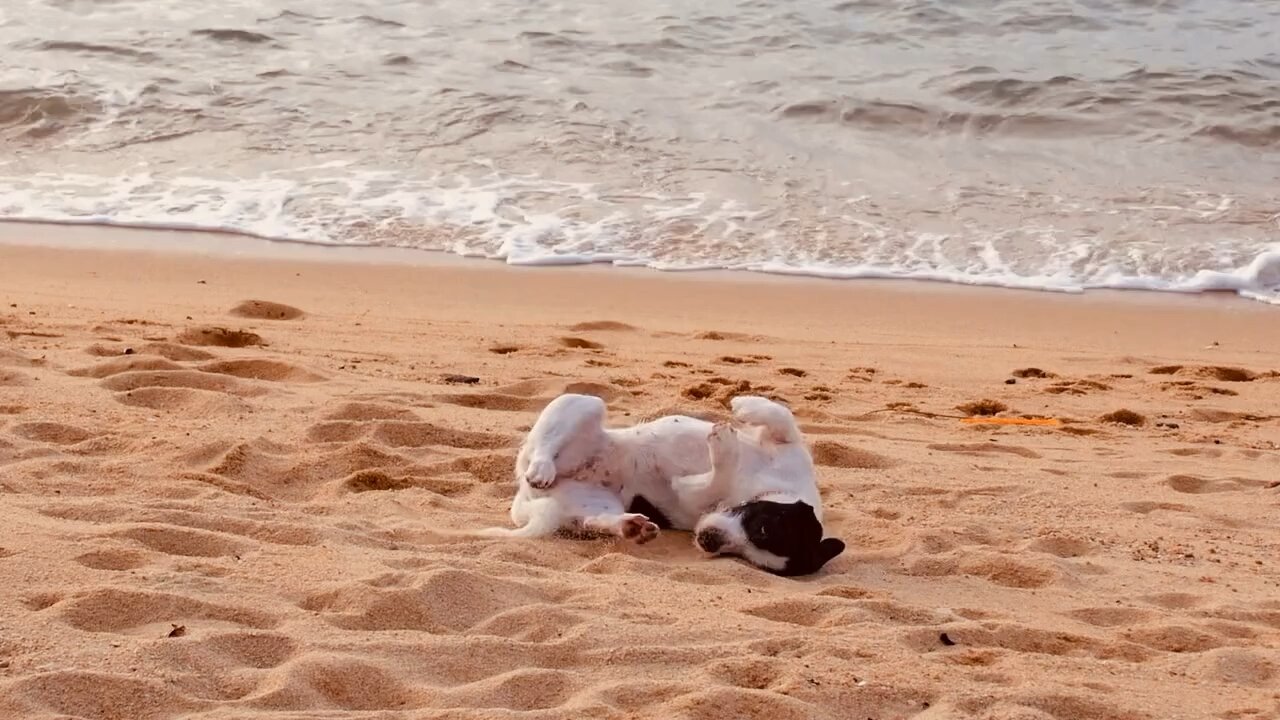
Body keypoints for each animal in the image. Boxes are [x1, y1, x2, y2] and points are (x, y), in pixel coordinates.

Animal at [478, 389, 839, 573]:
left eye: (747, 559)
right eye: (762, 527)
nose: (709, 543)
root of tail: (529, 500)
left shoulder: (697, 503)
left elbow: (708, 481)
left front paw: (723, 448)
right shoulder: (788, 448)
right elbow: (782, 417)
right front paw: (742, 407)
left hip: (590, 506)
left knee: (595, 520)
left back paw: (630, 527)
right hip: (583, 405)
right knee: (546, 444)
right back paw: (542, 469)